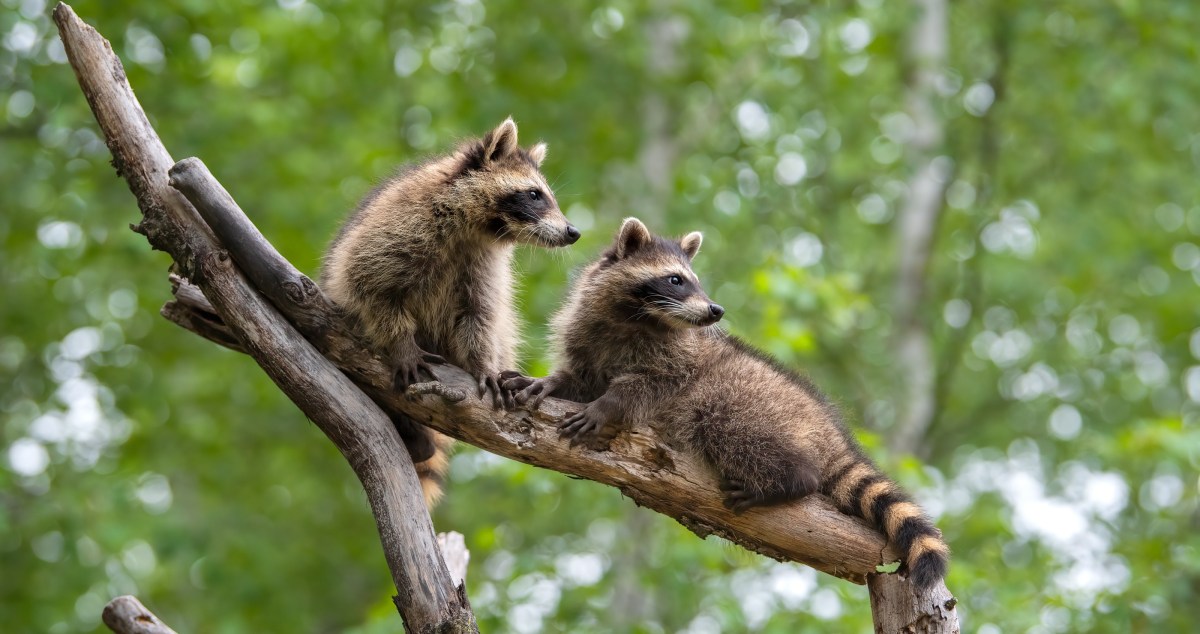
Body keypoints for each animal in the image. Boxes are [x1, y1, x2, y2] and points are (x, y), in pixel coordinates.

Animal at [322, 118, 579, 505]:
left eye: (545, 195)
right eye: (535, 195)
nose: (573, 232)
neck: (479, 227)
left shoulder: (484, 265)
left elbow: (480, 314)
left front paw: (482, 363)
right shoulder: (398, 224)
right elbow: (370, 283)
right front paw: (402, 342)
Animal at [504, 218, 949, 589]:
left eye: (694, 280)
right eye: (675, 279)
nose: (715, 310)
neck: (637, 318)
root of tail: (830, 433)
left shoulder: (676, 364)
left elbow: (643, 388)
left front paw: (605, 406)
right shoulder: (587, 335)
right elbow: (580, 379)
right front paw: (548, 383)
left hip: (746, 402)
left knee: (732, 429)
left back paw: (789, 480)